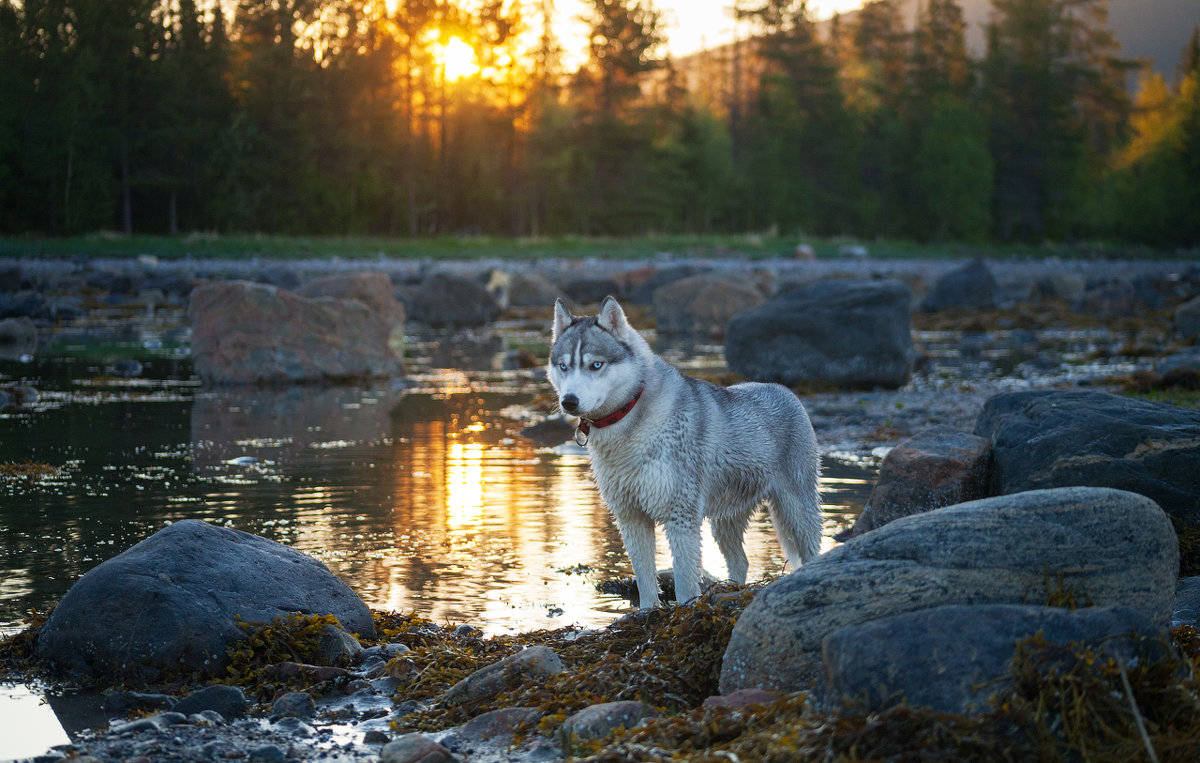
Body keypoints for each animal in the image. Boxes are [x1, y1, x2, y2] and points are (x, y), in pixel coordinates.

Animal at [547, 295, 820, 604]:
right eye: (564, 366)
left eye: (595, 365)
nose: (569, 401)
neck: (630, 420)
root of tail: (784, 391)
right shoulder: (630, 516)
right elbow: (644, 577)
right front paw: (648, 610)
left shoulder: (681, 516)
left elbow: (685, 580)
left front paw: (687, 606)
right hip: (726, 519)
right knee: (740, 561)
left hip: (797, 508)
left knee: (811, 551)